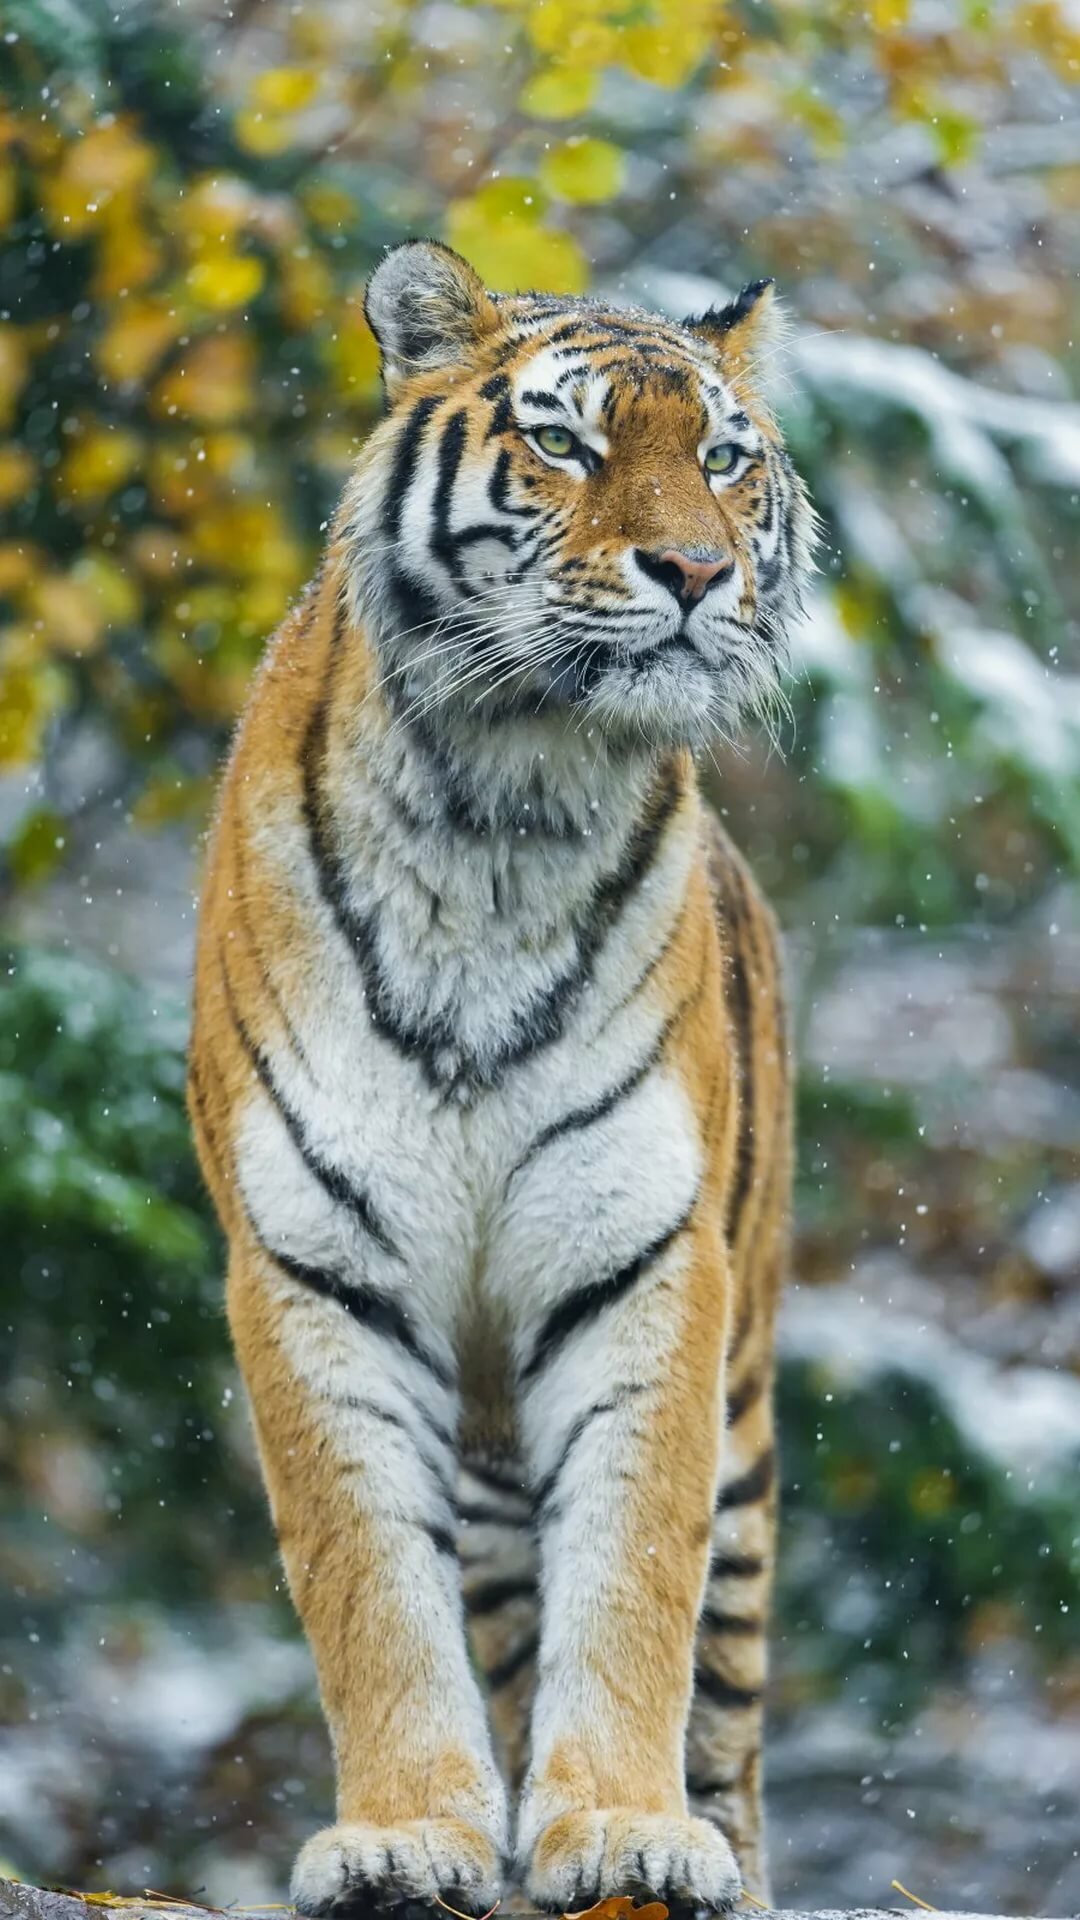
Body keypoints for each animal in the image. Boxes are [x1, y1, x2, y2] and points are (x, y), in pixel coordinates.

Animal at [188, 238, 813, 1919]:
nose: (694, 574)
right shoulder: (314, 1266)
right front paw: (408, 1838)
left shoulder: (645, 1256)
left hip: (747, 1423)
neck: (506, 810)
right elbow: (369, 1589)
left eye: (723, 459)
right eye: (568, 444)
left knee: (730, 1697)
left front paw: (626, 1826)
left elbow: (636, 1575)